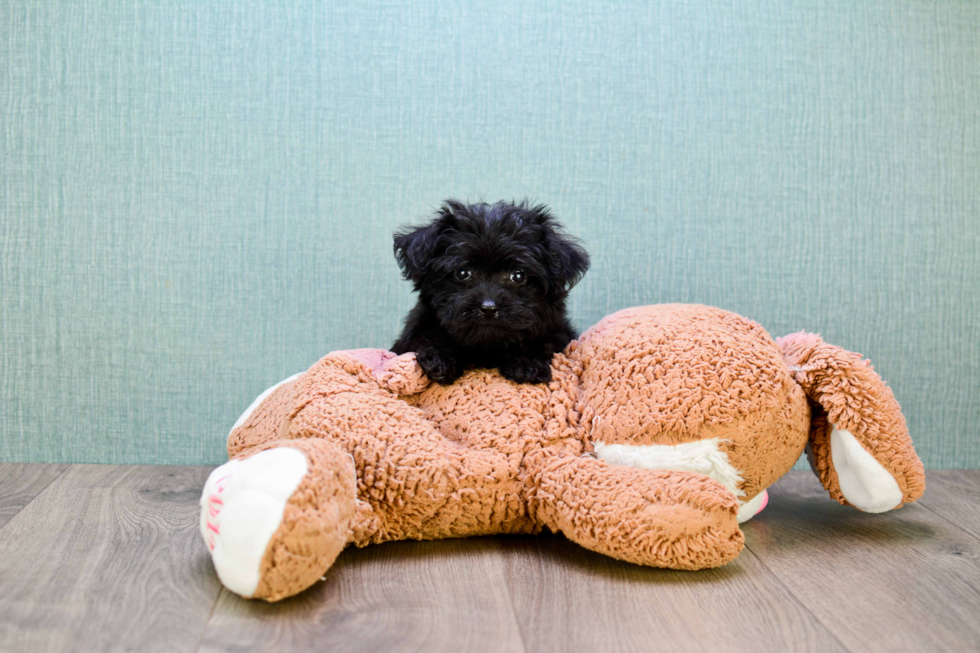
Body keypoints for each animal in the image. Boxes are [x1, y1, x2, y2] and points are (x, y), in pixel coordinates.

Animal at [390, 197, 588, 382]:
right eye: (463, 273)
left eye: (518, 276)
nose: (489, 308)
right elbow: (425, 337)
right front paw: (440, 357)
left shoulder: (557, 334)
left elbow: (543, 343)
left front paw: (527, 362)